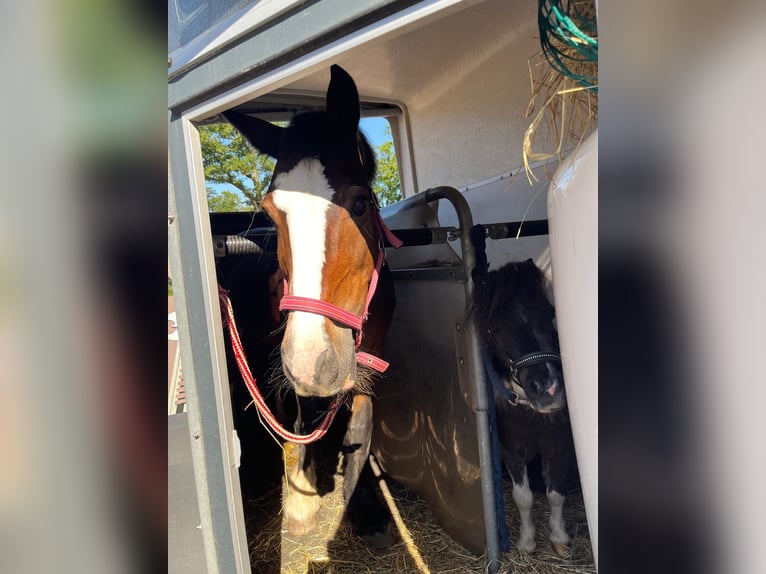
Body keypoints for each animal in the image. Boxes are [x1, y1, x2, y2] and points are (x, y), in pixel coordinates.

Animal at [222, 65, 400, 548]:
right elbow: (304, 416)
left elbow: (359, 428)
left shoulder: (370, 359)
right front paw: (301, 497)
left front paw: (366, 506)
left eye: (361, 202)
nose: (315, 361)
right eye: (270, 212)